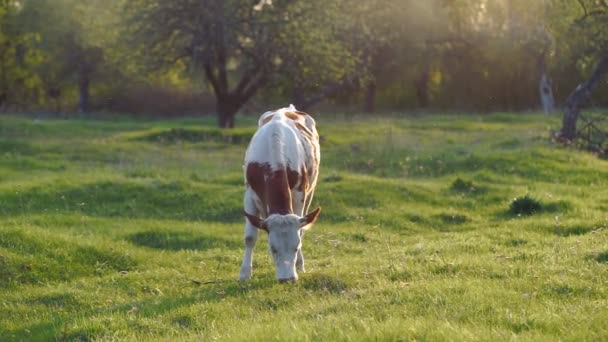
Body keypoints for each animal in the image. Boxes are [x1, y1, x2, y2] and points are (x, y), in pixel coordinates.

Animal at [239, 105, 320, 282]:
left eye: (296, 247)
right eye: (273, 248)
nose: (287, 279)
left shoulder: (299, 194)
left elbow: (300, 230)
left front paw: (299, 264)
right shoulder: (249, 196)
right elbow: (250, 237)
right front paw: (244, 273)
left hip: (311, 190)